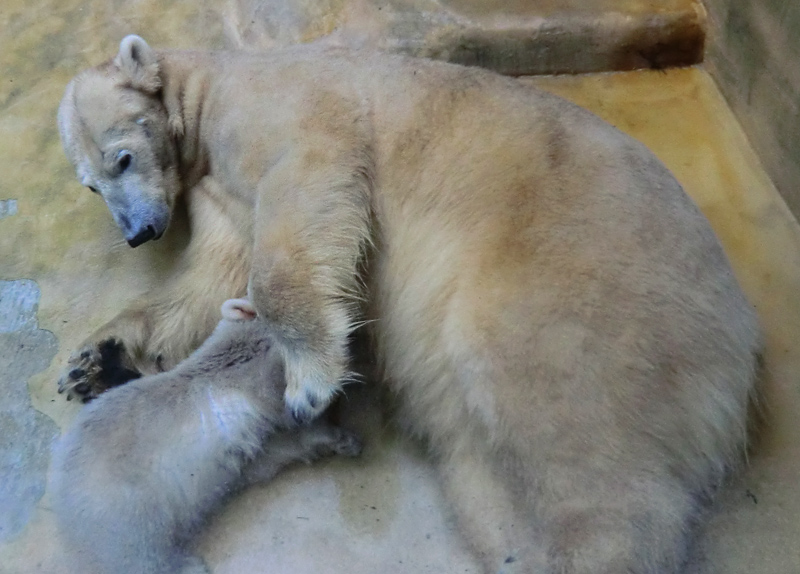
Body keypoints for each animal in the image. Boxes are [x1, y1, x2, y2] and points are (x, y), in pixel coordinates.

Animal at [59, 37, 760, 574]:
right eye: (91, 185)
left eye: (122, 158)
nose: (139, 233)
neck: (204, 93)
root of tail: (740, 335)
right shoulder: (217, 188)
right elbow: (211, 278)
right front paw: (97, 362)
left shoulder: (286, 108)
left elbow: (312, 185)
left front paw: (310, 381)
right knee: (483, 469)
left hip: (582, 288)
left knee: (570, 425)